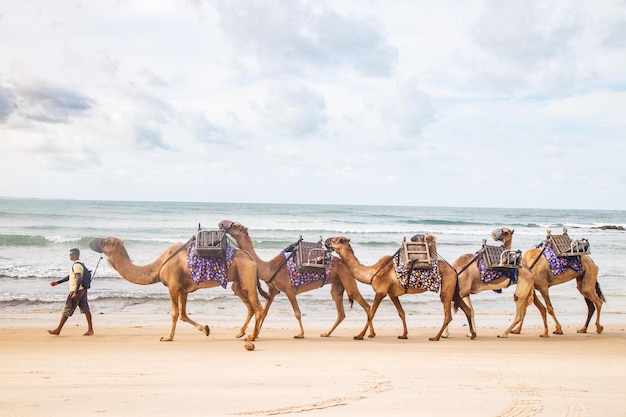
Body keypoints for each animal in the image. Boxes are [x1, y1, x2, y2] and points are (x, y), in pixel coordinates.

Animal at [88, 236, 264, 340]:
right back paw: (243, 333)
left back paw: (251, 337)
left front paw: (167, 337)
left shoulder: (173, 286)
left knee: (258, 308)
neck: (158, 265)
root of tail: (250, 257)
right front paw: (205, 329)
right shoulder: (183, 289)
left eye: (106, 241)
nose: (92, 242)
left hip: (246, 275)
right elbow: (183, 315)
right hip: (239, 282)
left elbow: (174, 313)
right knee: (251, 307)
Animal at [218, 219, 372, 340]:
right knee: (341, 312)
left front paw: (300, 334)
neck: (270, 268)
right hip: (337, 284)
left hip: (347, 278)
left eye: (235, 225)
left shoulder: (290, 290)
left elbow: (297, 313)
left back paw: (366, 334)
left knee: (364, 304)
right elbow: (265, 313)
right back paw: (327, 333)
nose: (221, 223)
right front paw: (254, 334)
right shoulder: (272, 291)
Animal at [322, 236, 472, 340]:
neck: (372, 272)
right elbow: (401, 313)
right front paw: (404, 335)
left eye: (336, 240)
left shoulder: (381, 291)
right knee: (466, 308)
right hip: (453, 289)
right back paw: (473, 334)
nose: (326, 241)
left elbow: (371, 313)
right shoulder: (392, 294)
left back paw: (435, 337)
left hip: (447, 287)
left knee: (448, 315)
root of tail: (453, 269)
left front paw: (359, 335)